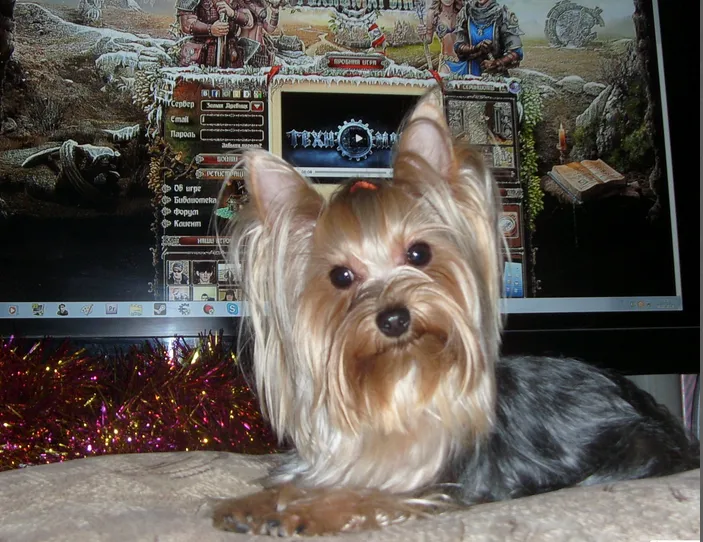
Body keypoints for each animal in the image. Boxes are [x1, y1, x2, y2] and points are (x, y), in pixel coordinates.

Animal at [212, 90, 699, 536]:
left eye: (419, 253)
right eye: (340, 277)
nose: (394, 319)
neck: (400, 381)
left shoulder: (436, 487)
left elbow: (370, 494)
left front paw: (306, 511)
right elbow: (298, 481)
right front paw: (255, 503)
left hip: (633, 447)